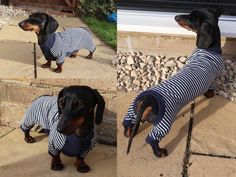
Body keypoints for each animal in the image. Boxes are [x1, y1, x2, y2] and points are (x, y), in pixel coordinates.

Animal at [122, 8, 224, 158]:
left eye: (191, 18)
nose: (176, 17)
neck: (209, 49)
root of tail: (147, 100)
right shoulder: (212, 78)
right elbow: (210, 89)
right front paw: (210, 95)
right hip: (164, 122)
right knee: (152, 139)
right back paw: (160, 152)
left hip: (132, 111)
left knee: (127, 123)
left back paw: (128, 133)